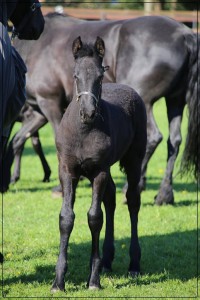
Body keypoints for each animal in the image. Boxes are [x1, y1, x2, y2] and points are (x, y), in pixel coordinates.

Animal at [4, 13, 198, 204]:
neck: (34, 48)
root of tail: (184, 34)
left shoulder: (49, 104)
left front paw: (60, 186)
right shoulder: (38, 113)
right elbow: (19, 139)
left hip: (146, 100)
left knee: (153, 137)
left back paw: (132, 188)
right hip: (175, 101)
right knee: (174, 141)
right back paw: (164, 194)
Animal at [50, 36, 146, 292]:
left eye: (100, 77)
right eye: (75, 76)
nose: (89, 113)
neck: (83, 132)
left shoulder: (99, 172)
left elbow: (95, 218)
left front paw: (93, 280)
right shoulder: (67, 171)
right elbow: (66, 218)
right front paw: (58, 281)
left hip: (134, 160)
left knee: (132, 201)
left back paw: (134, 264)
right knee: (111, 198)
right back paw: (108, 259)